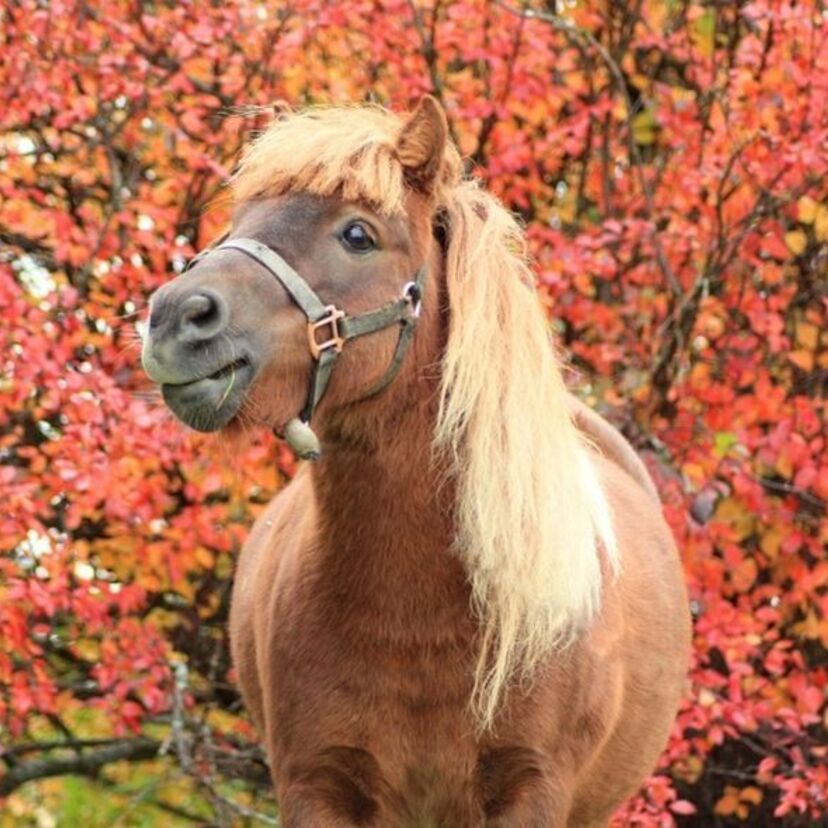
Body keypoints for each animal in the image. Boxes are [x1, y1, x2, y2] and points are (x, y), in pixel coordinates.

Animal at [142, 98, 692, 828]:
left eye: (357, 234)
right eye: (239, 221)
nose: (177, 316)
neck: (418, 615)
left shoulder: (533, 789)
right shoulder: (316, 785)